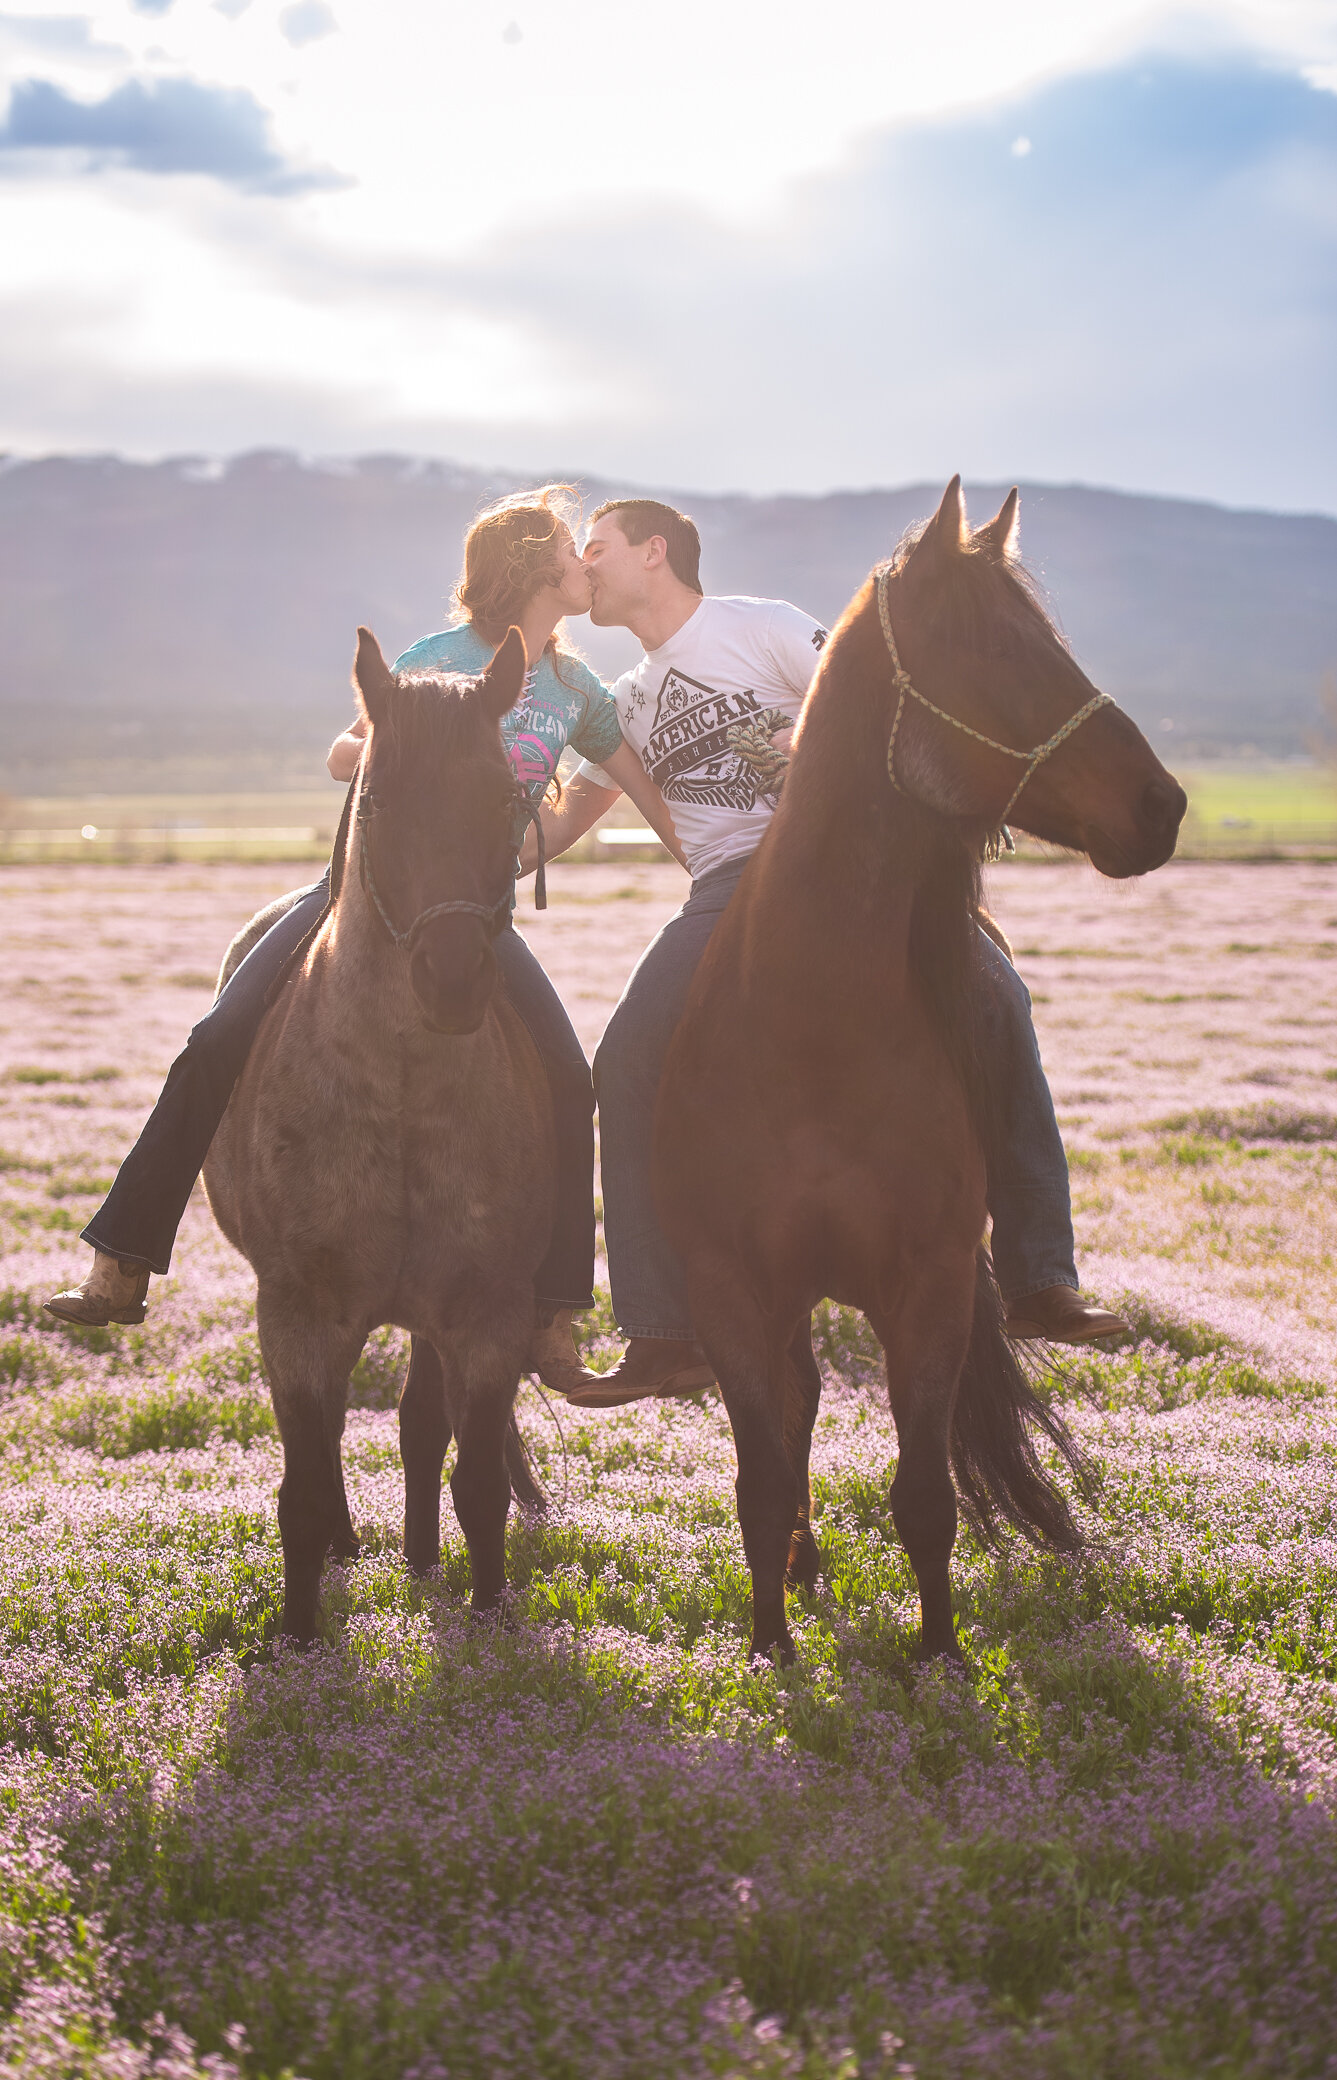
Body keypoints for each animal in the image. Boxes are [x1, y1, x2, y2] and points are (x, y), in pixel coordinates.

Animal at [199, 624, 553, 1630]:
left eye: (504, 799)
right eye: (380, 800)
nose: (451, 979)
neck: (398, 1091)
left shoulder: (484, 1314)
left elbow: (474, 1479)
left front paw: (486, 1623)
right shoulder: (298, 1313)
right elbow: (303, 1489)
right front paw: (302, 1639)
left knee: (420, 1429)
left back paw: (422, 1559)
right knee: (325, 1445)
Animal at [652, 478, 1189, 1664]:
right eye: (998, 642)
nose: (1162, 805)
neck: (814, 1029)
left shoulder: (932, 1287)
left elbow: (924, 1496)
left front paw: (939, 1657)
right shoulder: (733, 1290)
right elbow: (762, 1480)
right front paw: (769, 1652)